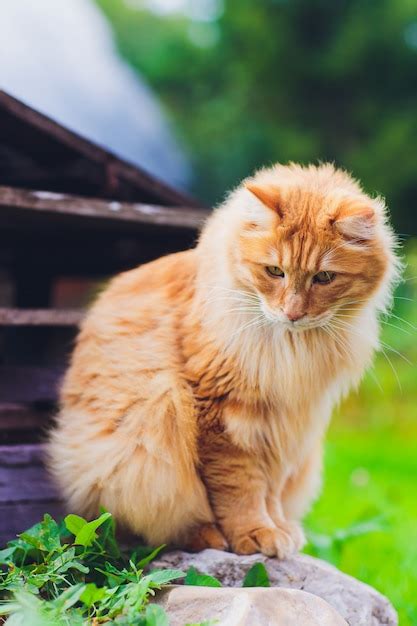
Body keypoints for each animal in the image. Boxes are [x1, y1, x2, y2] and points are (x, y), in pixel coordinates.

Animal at [47, 162, 398, 556]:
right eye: (275, 271)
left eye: (324, 277)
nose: (292, 313)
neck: (291, 350)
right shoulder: (224, 416)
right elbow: (239, 489)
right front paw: (254, 534)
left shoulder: (287, 425)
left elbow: (271, 490)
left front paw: (279, 528)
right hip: (145, 428)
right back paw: (206, 536)